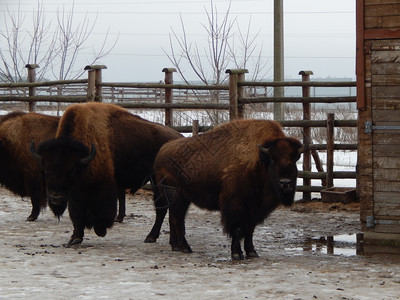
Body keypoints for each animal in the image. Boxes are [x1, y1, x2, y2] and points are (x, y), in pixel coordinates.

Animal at [31, 102, 181, 245]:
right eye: (45, 170)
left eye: (71, 170)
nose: (56, 198)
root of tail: (177, 137)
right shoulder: (75, 194)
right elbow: (76, 213)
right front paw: (75, 238)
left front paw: (100, 230)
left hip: (158, 180)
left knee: (162, 207)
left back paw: (151, 237)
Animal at [145, 119, 302, 260]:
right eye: (273, 158)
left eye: (294, 159)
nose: (285, 182)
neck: (259, 160)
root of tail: (162, 152)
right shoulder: (235, 206)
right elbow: (237, 230)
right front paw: (236, 254)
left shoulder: (253, 209)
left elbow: (249, 230)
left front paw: (252, 252)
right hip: (177, 196)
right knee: (176, 218)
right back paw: (185, 248)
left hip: (182, 199)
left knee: (175, 217)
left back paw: (177, 246)